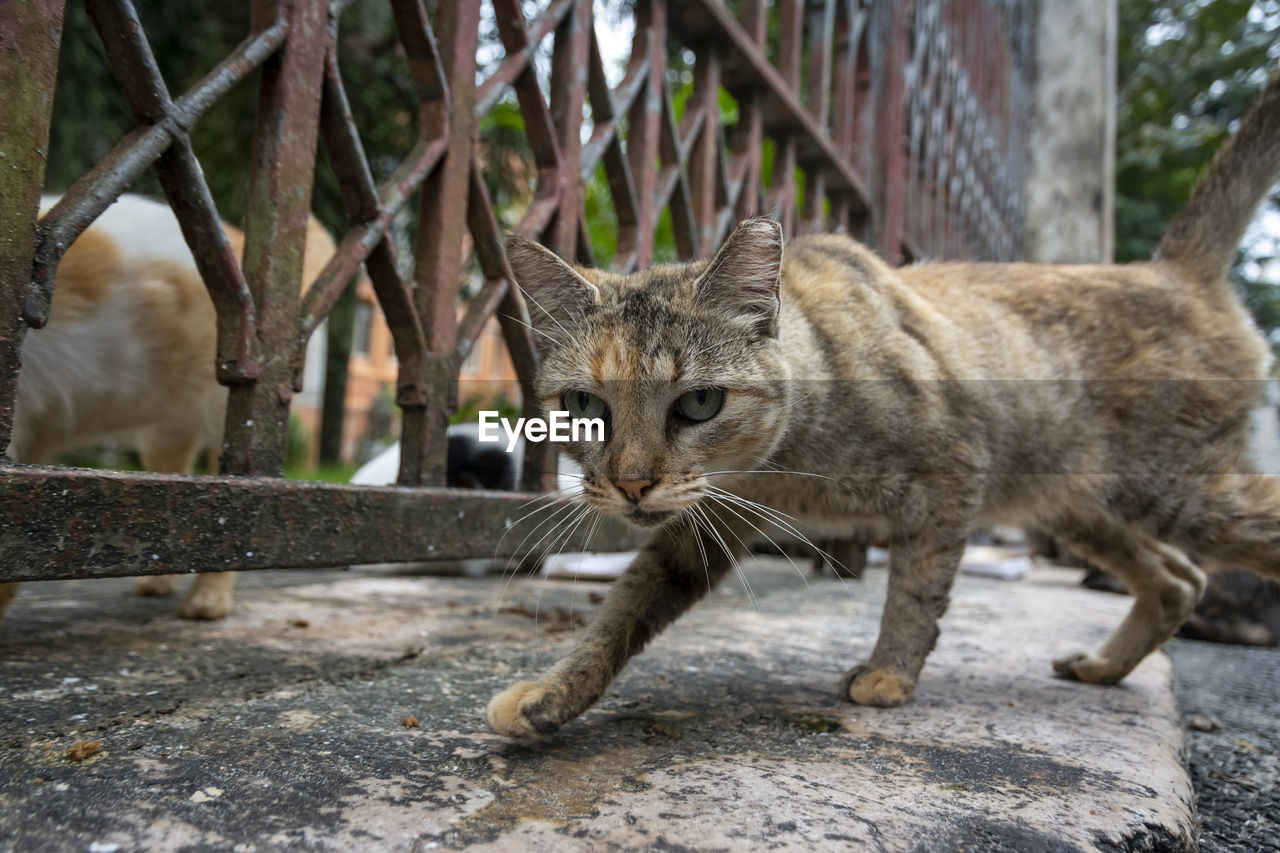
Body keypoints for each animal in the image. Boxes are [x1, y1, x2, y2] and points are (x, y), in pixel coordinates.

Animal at [483, 74, 1280, 737]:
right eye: (584, 403)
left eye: (700, 402)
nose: (632, 483)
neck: (792, 459)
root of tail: (1175, 270)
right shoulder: (710, 523)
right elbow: (623, 610)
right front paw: (553, 691)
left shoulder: (951, 474)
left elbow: (916, 590)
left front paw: (890, 674)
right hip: (1085, 507)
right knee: (1180, 580)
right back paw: (1104, 666)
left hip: (1181, 493)